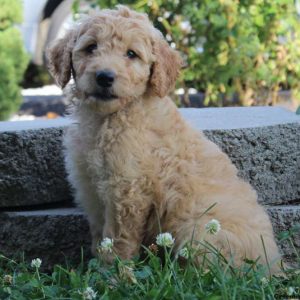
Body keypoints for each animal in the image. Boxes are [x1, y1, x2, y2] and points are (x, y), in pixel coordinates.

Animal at [47, 5, 282, 272]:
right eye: (91, 47)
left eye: (131, 54)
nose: (104, 76)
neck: (108, 118)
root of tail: (275, 266)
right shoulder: (90, 186)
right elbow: (99, 235)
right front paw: (96, 269)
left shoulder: (127, 190)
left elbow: (117, 239)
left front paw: (113, 273)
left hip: (200, 232)